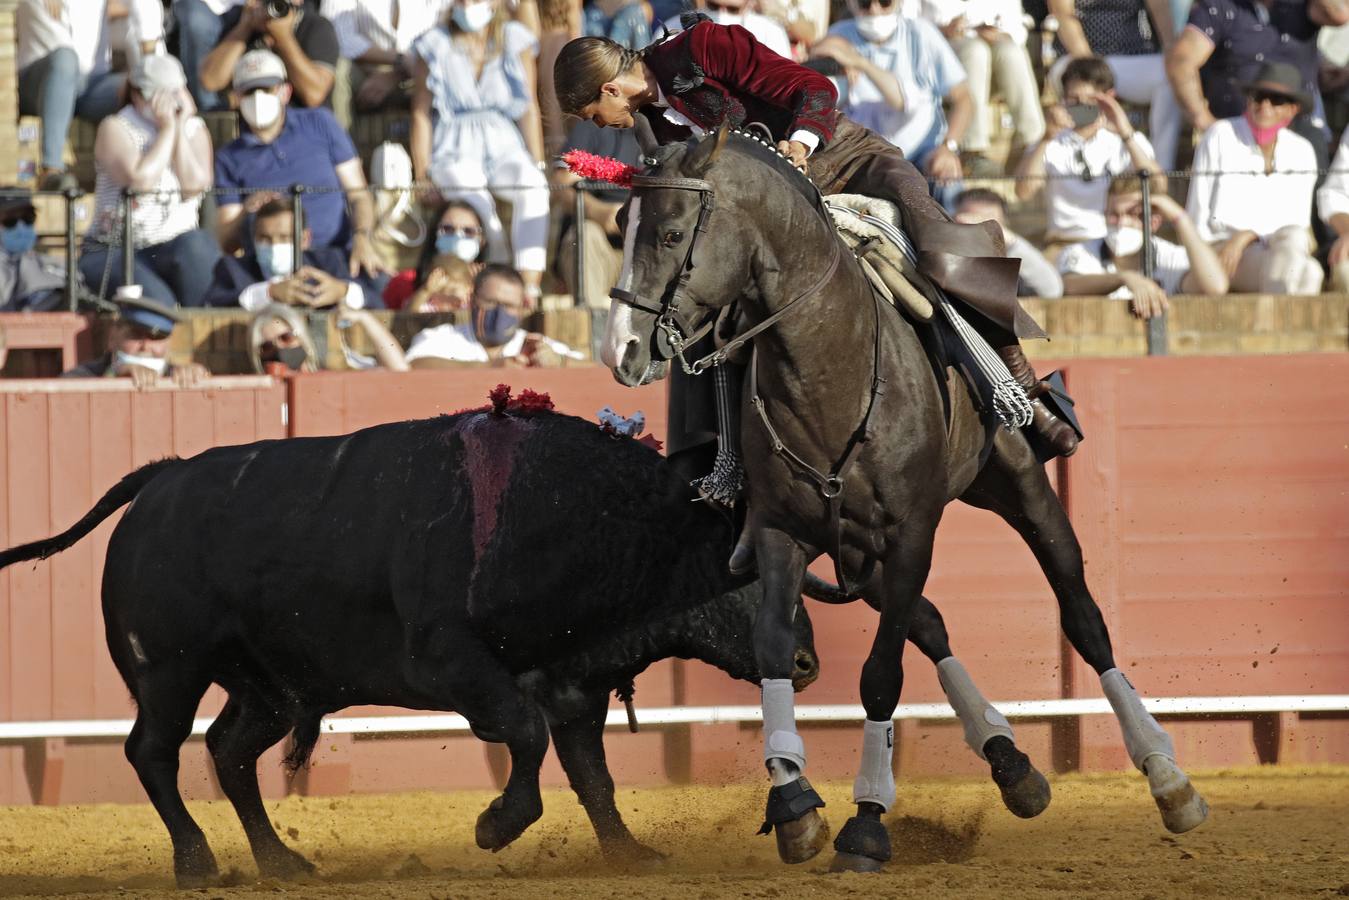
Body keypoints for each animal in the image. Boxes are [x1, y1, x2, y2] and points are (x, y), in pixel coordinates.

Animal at [0, 407, 820, 885]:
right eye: (743, 571)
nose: (806, 664)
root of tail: (161, 481)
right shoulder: (451, 661)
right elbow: (525, 735)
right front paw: (496, 826)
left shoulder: (574, 684)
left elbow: (593, 775)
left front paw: (628, 854)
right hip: (169, 671)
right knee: (154, 752)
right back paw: (199, 863)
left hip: (267, 688)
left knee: (229, 752)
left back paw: (283, 863)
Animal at [604, 128, 1214, 874]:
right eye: (618, 224)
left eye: (669, 231)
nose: (622, 350)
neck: (827, 368)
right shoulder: (782, 533)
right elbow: (775, 646)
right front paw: (793, 802)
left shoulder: (911, 534)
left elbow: (879, 676)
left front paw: (866, 822)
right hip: (859, 553)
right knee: (932, 624)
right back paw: (1012, 766)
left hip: (1013, 487)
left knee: (1080, 614)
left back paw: (1166, 776)